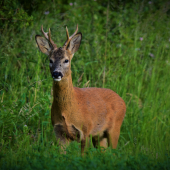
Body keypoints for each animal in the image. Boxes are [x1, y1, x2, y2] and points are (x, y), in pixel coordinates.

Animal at [35, 24, 126, 153]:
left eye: (66, 60)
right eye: (50, 60)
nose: (56, 73)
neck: (68, 112)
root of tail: (122, 101)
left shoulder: (86, 131)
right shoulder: (59, 132)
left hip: (115, 129)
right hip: (99, 136)